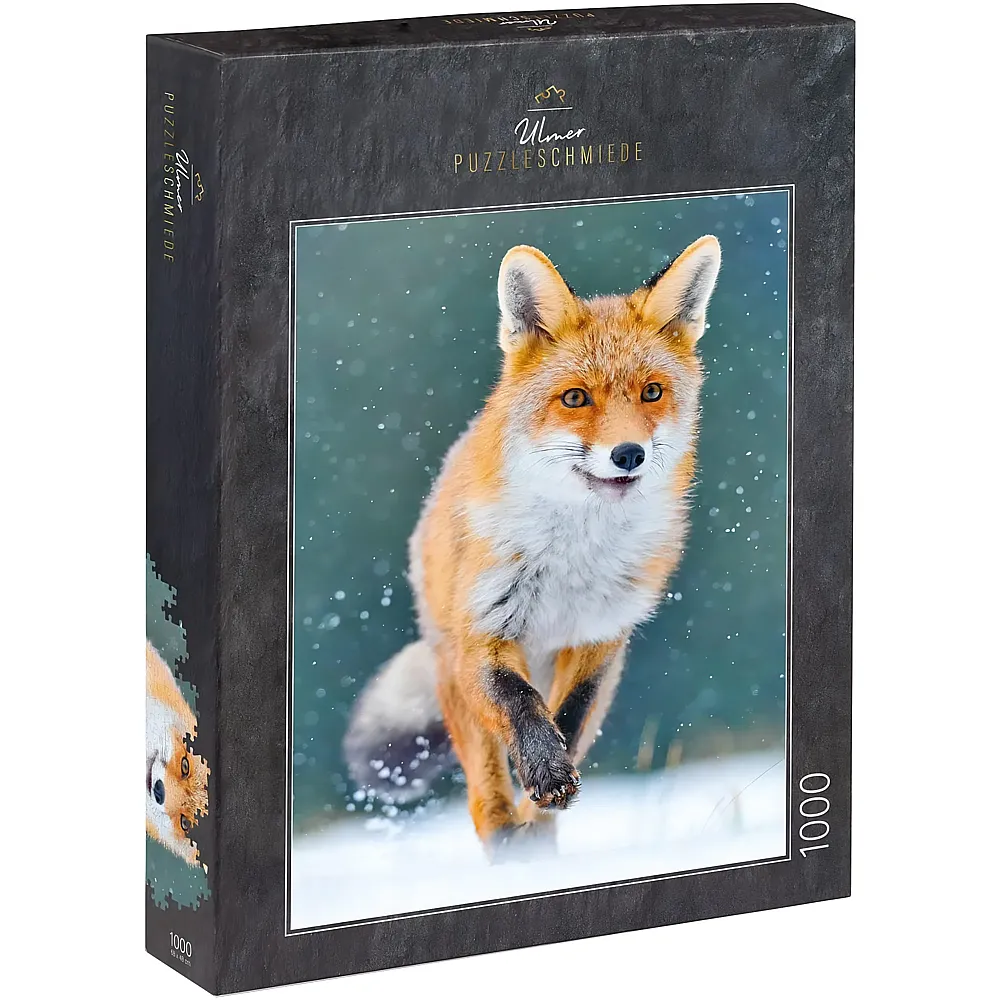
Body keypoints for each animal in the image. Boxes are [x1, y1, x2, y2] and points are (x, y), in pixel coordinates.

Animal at [344, 234, 721, 856]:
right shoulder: (485, 634)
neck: (573, 559)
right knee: (486, 803)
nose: (629, 454)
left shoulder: (599, 639)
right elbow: (522, 706)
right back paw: (510, 846)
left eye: (652, 392)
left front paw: (551, 776)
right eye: (575, 398)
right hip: (456, 681)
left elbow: (567, 718)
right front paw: (544, 769)